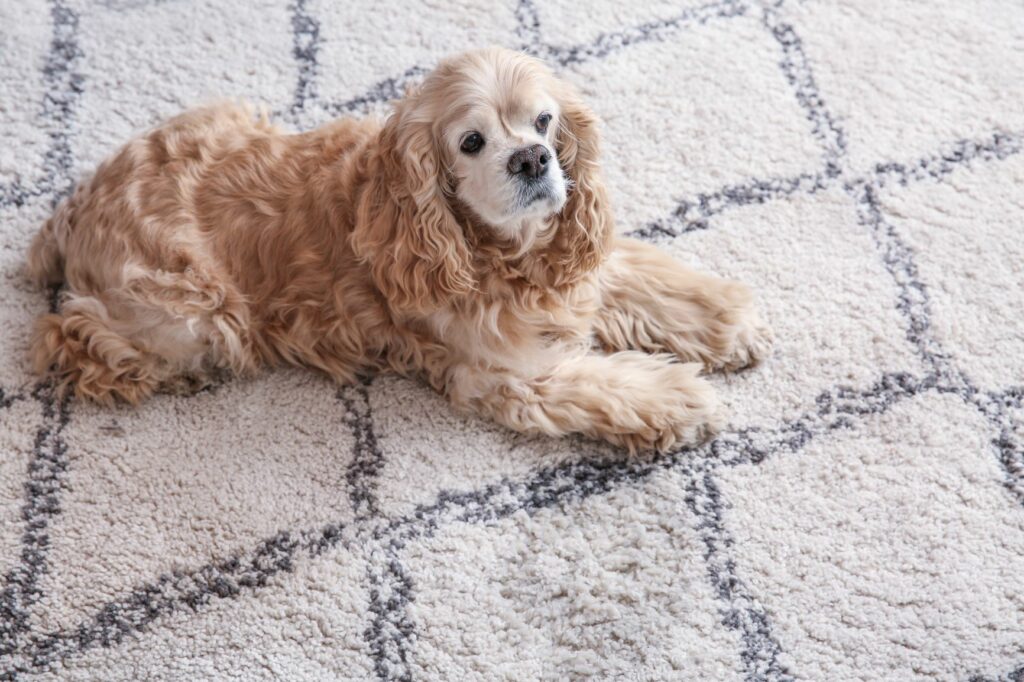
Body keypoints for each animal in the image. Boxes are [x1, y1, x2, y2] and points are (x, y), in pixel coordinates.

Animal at [25, 47, 770, 450]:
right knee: (69, 338)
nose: (532, 159)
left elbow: (649, 281)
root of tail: (73, 207)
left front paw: (729, 325)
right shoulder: (510, 375)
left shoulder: (573, 267)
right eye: (472, 141)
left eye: (544, 121)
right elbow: (608, 384)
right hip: (193, 309)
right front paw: (682, 400)